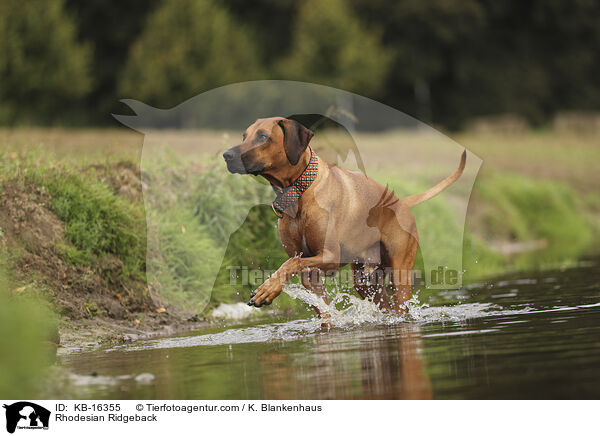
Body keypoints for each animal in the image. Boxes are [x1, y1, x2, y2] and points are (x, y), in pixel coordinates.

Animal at [223, 117, 466, 318]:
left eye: (263, 137)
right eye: (244, 136)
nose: (227, 155)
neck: (299, 192)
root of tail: (402, 202)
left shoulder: (329, 256)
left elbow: (289, 264)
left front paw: (267, 288)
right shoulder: (310, 274)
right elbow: (320, 305)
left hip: (399, 273)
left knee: (400, 304)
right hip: (365, 282)